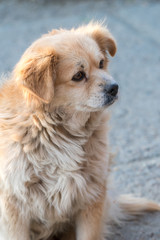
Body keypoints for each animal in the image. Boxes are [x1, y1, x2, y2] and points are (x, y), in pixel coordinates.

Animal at [0, 22, 159, 240]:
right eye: (78, 76)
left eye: (101, 63)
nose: (114, 88)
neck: (55, 132)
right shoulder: (14, 207)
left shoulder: (92, 195)